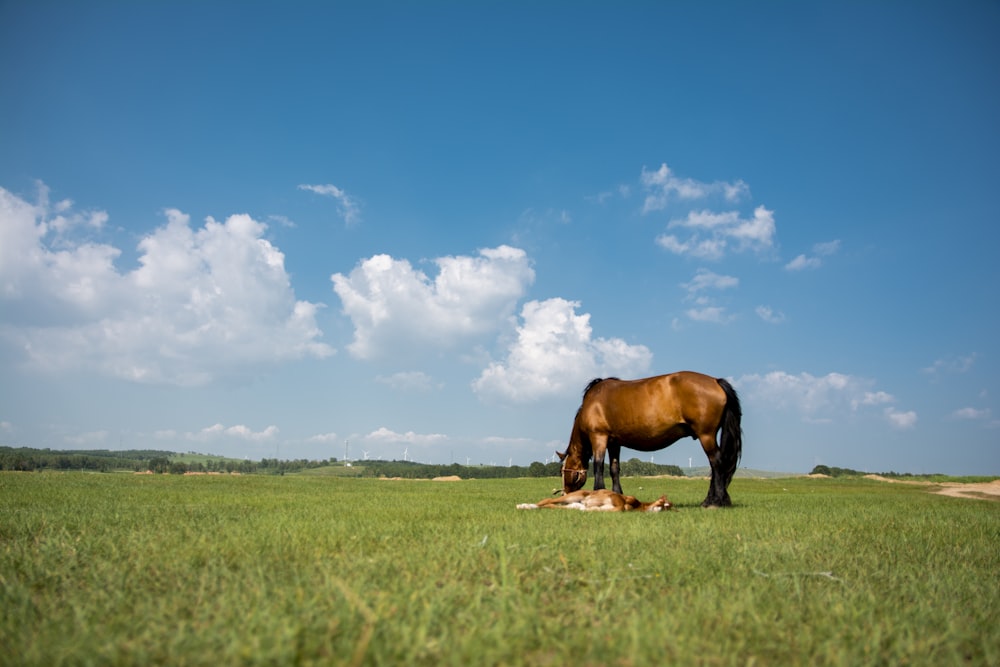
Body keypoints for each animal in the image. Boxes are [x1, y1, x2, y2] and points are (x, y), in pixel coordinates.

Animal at [560, 374, 740, 508]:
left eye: (564, 471)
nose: (565, 493)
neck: (592, 402)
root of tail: (715, 381)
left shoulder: (599, 437)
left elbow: (598, 466)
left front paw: (598, 492)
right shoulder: (614, 443)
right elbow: (614, 469)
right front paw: (618, 494)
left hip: (706, 435)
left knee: (716, 463)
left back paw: (715, 501)